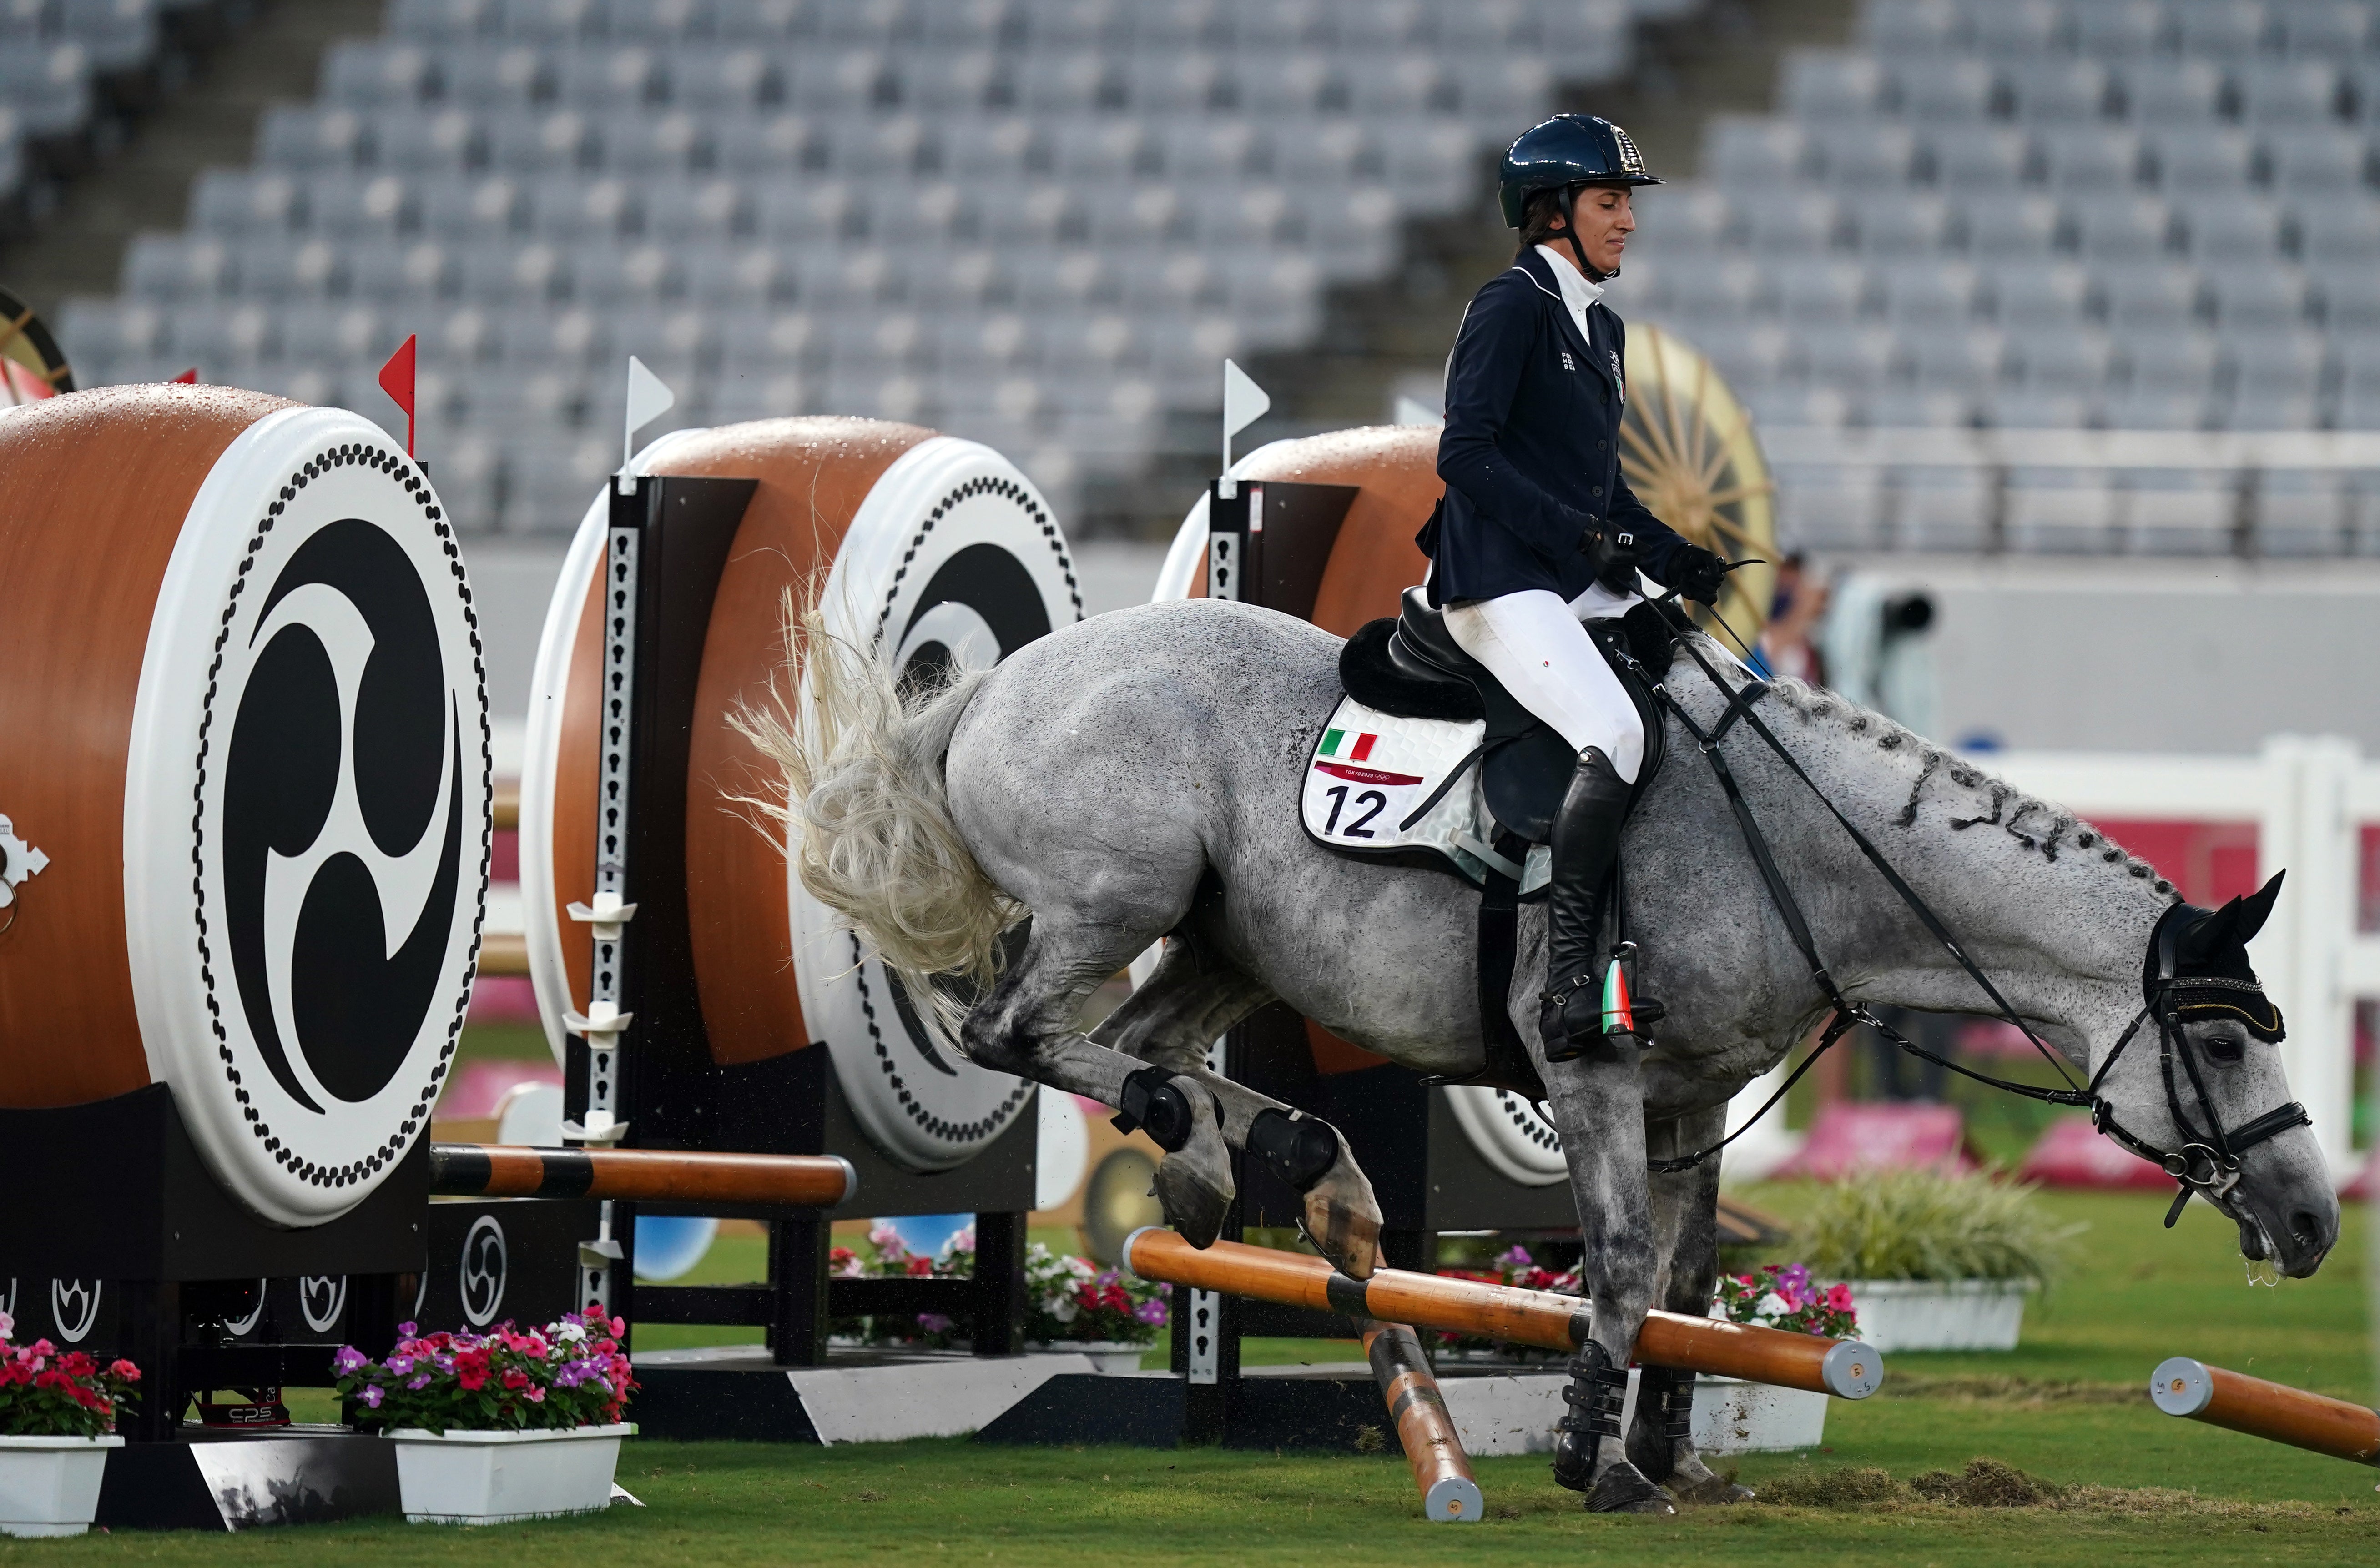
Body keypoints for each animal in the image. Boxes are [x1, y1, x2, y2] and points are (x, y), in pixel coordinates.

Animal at [766, 597, 2342, 1513]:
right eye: (2217, 1037)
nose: (2317, 1223)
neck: (1798, 849)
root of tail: (998, 687)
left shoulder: (1698, 1097)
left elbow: (1689, 1280)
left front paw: (1668, 1448)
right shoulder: (1595, 1079)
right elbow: (1624, 1262)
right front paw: (1596, 1458)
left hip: (1221, 941)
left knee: (1140, 1050)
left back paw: (1254, 1157)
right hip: (1117, 903)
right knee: (1019, 1033)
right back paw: (1256, 1148)